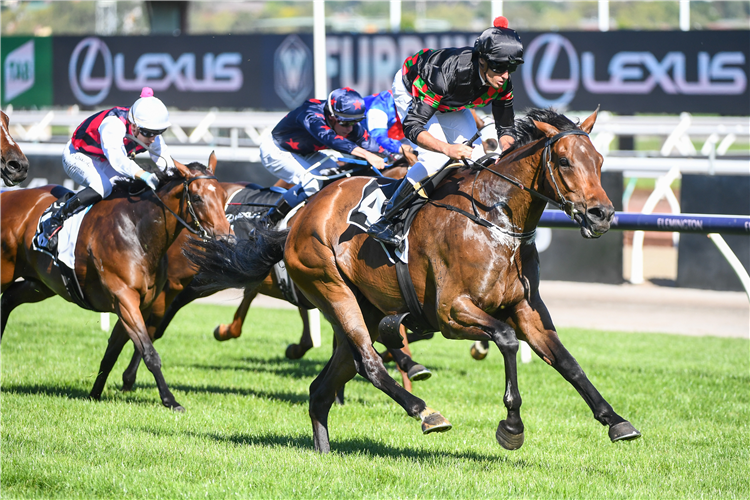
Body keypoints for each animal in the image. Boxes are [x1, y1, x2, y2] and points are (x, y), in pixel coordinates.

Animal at [0, 152, 229, 410]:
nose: (226, 238)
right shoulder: (124, 298)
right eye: (198, 198)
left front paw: (94, 394)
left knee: (9, 298)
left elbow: (112, 353)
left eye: (223, 196)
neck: (138, 231)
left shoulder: (140, 304)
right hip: (6, 271)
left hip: (40, 283)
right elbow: (150, 353)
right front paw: (170, 400)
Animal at [188, 109, 640, 454]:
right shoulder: (451, 312)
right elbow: (507, 339)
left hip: (364, 308)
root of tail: (298, 220)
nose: (602, 214)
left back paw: (323, 448)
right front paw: (511, 426)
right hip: (332, 290)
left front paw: (615, 420)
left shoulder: (526, 309)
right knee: (369, 363)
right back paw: (426, 412)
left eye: (599, 160)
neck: (494, 221)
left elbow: (566, 361)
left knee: (327, 384)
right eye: (564, 161)